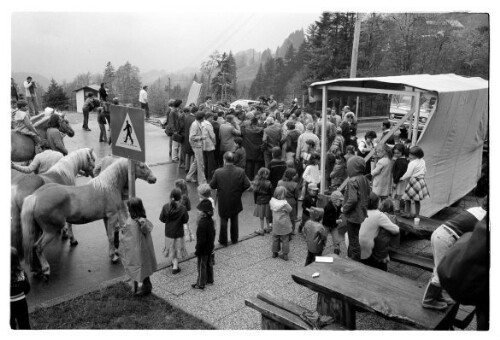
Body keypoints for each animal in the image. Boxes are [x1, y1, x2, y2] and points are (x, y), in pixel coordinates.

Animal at [21, 158, 156, 280]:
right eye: (142, 166)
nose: (154, 179)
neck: (108, 186)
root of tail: (35, 196)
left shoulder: (106, 218)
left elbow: (109, 236)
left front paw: (112, 254)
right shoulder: (112, 216)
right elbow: (112, 237)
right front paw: (113, 257)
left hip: (38, 229)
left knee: (33, 247)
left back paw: (37, 269)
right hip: (51, 231)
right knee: (38, 247)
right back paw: (46, 270)